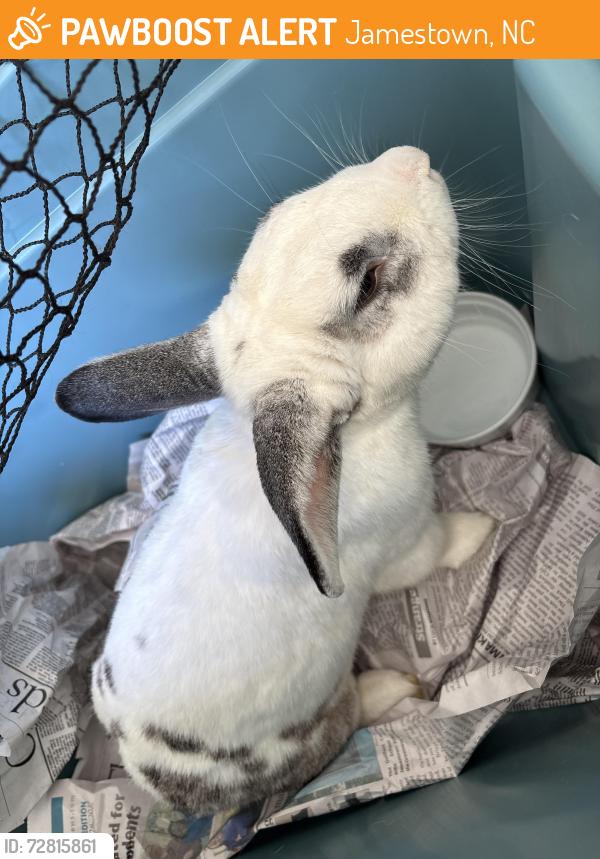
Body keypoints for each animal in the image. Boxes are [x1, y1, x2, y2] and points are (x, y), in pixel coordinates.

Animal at [56, 146, 495, 814]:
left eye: (275, 211)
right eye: (368, 283)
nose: (412, 160)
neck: (353, 431)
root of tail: (144, 768)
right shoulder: (408, 540)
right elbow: (440, 547)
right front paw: (484, 528)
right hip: (325, 720)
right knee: (349, 719)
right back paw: (396, 686)